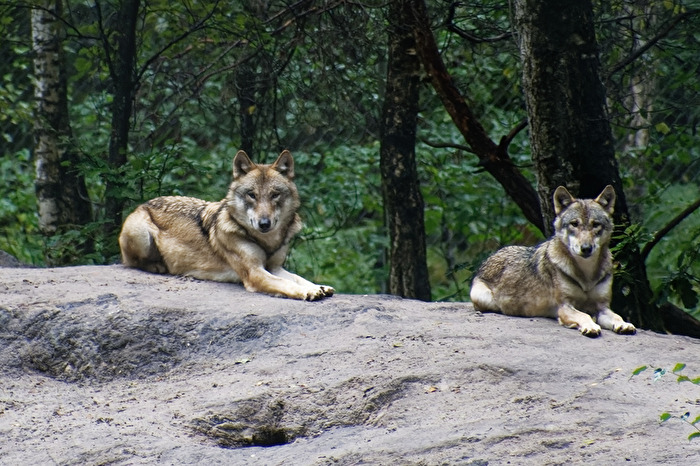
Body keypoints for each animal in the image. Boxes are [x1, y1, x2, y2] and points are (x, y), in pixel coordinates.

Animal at [119, 150, 335, 301]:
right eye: (252, 195)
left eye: (275, 195)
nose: (264, 224)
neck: (266, 241)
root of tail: (143, 203)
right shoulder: (255, 273)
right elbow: (287, 283)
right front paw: (308, 292)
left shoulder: (275, 267)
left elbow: (298, 278)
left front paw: (318, 287)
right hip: (142, 235)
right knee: (131, 263)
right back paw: (158, 266)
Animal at [470, 185, 636, 337]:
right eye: (574, 224)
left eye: (595, 225)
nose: (586, 248)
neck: (586, 275)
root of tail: (491, 256)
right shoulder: (564, 306)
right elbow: (584, 315)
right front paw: (591, 326)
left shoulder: (602, 307)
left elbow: (617, 316)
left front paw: (624, 324)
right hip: (485, 299)